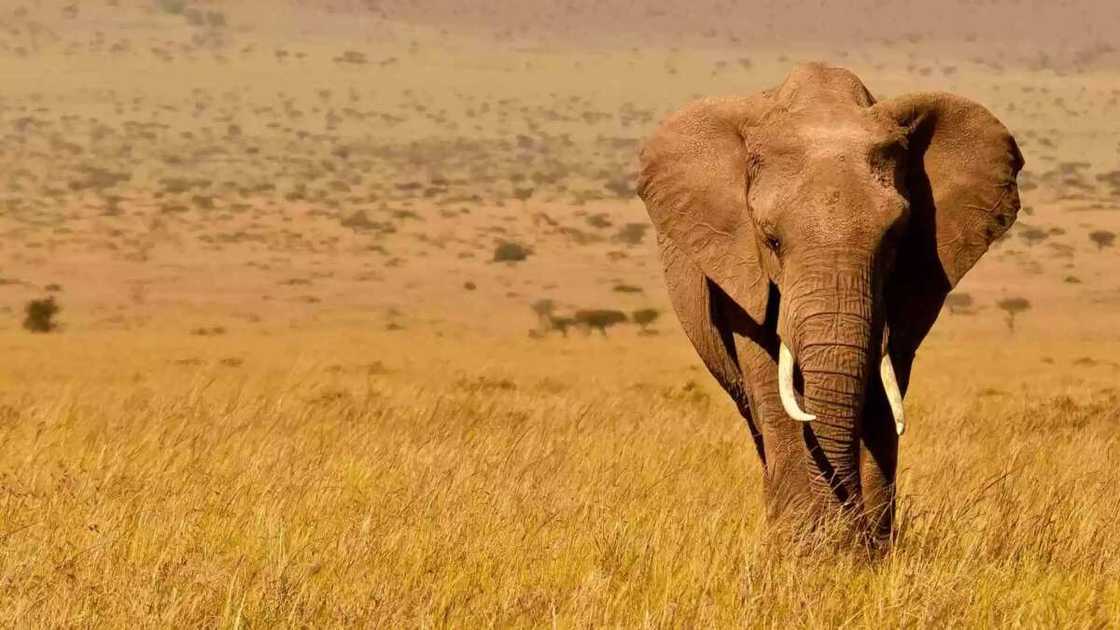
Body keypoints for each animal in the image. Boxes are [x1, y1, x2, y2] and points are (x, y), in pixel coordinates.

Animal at [636, 62, 1023, 548]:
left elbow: (883, 390)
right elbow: (773, 388)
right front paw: (808, 549)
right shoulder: (738, 273)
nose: (845, 530)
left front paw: (866, 551)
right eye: (771, 240)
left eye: (894, 239)